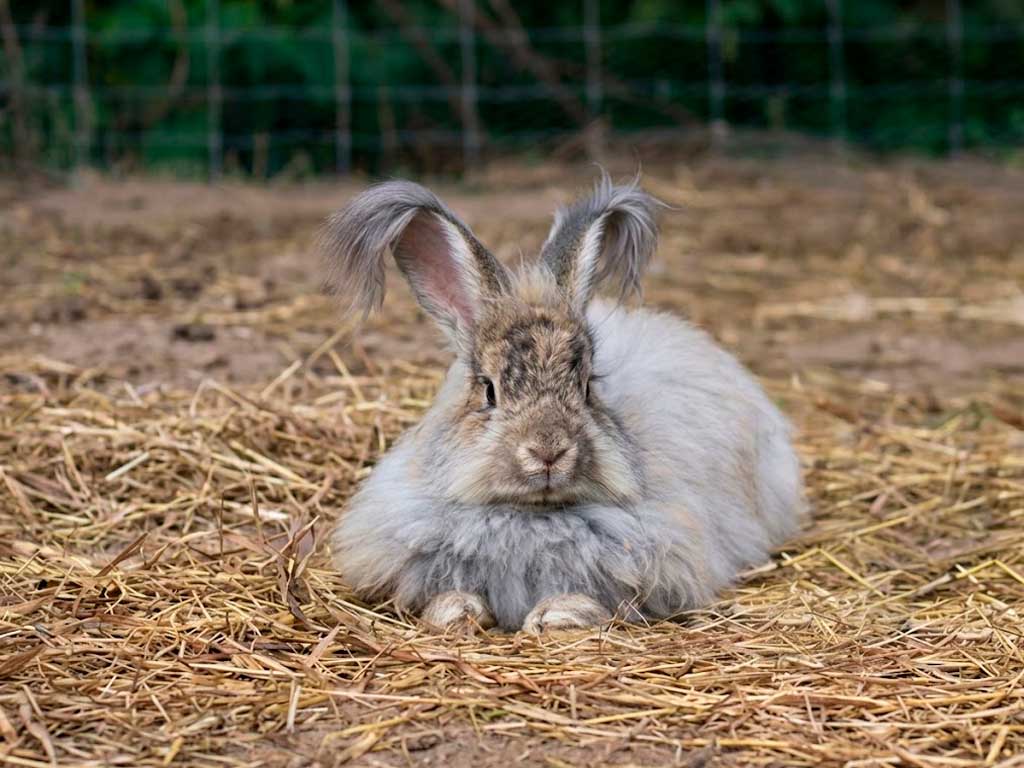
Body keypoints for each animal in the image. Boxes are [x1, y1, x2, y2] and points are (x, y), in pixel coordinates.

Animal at [320, 175, 806, 634]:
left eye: (587, 386)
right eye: (489, 390)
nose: (548, 451)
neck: (531, 515)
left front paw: (556, 616)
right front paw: (457, 613)